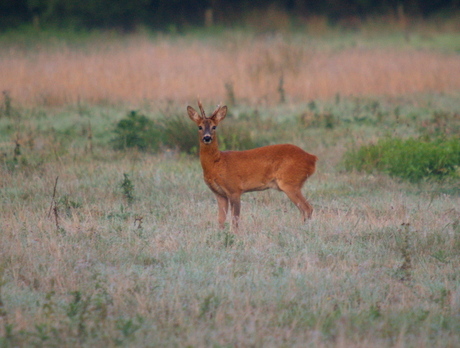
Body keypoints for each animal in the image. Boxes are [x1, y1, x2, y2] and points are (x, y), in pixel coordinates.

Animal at [189, 100, 318, 231]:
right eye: (199, 127)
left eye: (214, 126)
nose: (207, 138)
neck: (217, 163)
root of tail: (312, 158)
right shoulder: (219, 194)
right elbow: (220, 220)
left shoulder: (234, 189)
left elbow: (235, 219)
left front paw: (233, 234)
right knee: (305, 210)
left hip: (290, 183)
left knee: (308, 208)